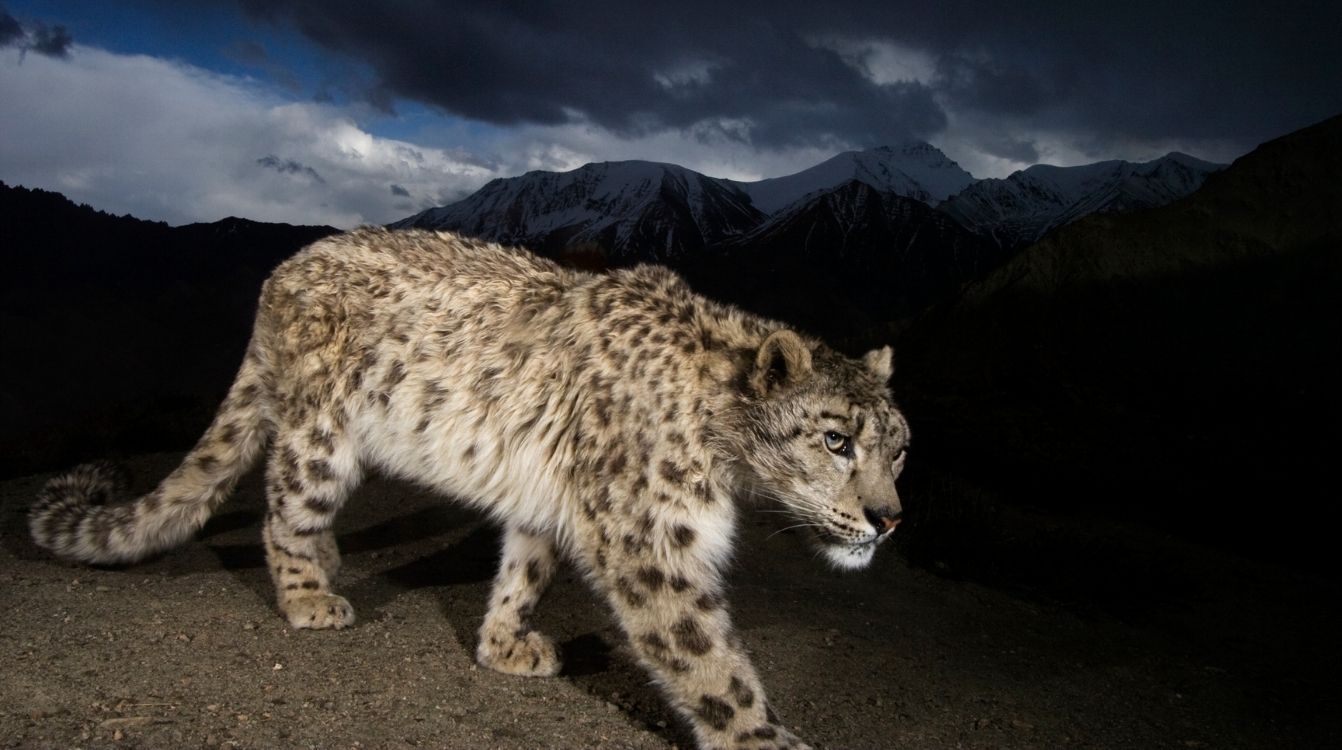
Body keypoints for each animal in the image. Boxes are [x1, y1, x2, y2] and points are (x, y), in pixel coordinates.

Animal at [31, 229, 907, 750]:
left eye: (901, 450)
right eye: (836, 440)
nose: (890, 519)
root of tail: (280, 273)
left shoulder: (550, 500)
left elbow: (526, 567)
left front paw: (505, 643)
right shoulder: (651, 542)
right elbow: (708, 660)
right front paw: (765, 738)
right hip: (322, 441)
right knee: (283, 510)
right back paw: (311, 595)